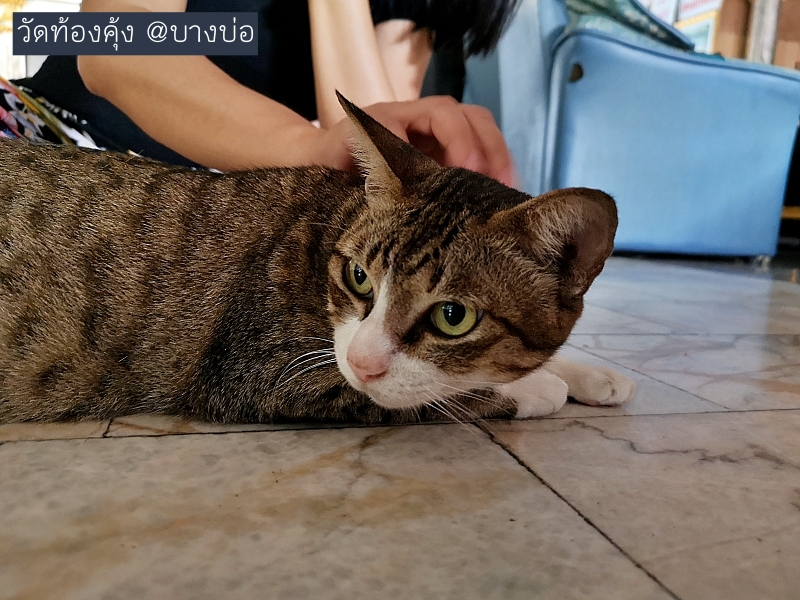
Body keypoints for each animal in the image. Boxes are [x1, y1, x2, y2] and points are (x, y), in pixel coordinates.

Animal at [0, 94, 635, 424]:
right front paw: (539, 387)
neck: (327, 223)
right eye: (358, 278)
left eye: (453, 317)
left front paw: (588, 372)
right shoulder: (256, 372)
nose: (362, 359)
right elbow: (412, 397)